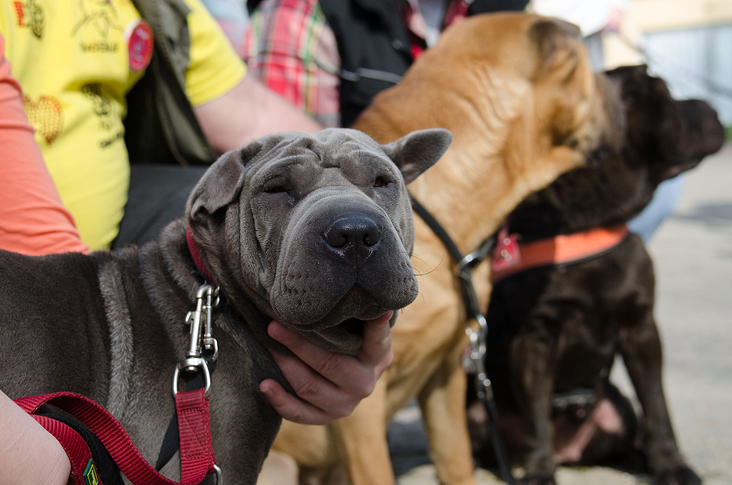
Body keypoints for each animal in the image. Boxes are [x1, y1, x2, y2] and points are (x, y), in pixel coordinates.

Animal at [468, 65, 728, 484]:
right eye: (668, 96)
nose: (715, 109)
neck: (588, 226)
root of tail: (570, 452)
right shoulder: (534, 337)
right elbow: (536, 416)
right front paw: (539, 470)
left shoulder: (641, 329)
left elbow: (657, 406)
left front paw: (672, 465)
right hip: (477, 410)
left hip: (619, 407)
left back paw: (639, 457)